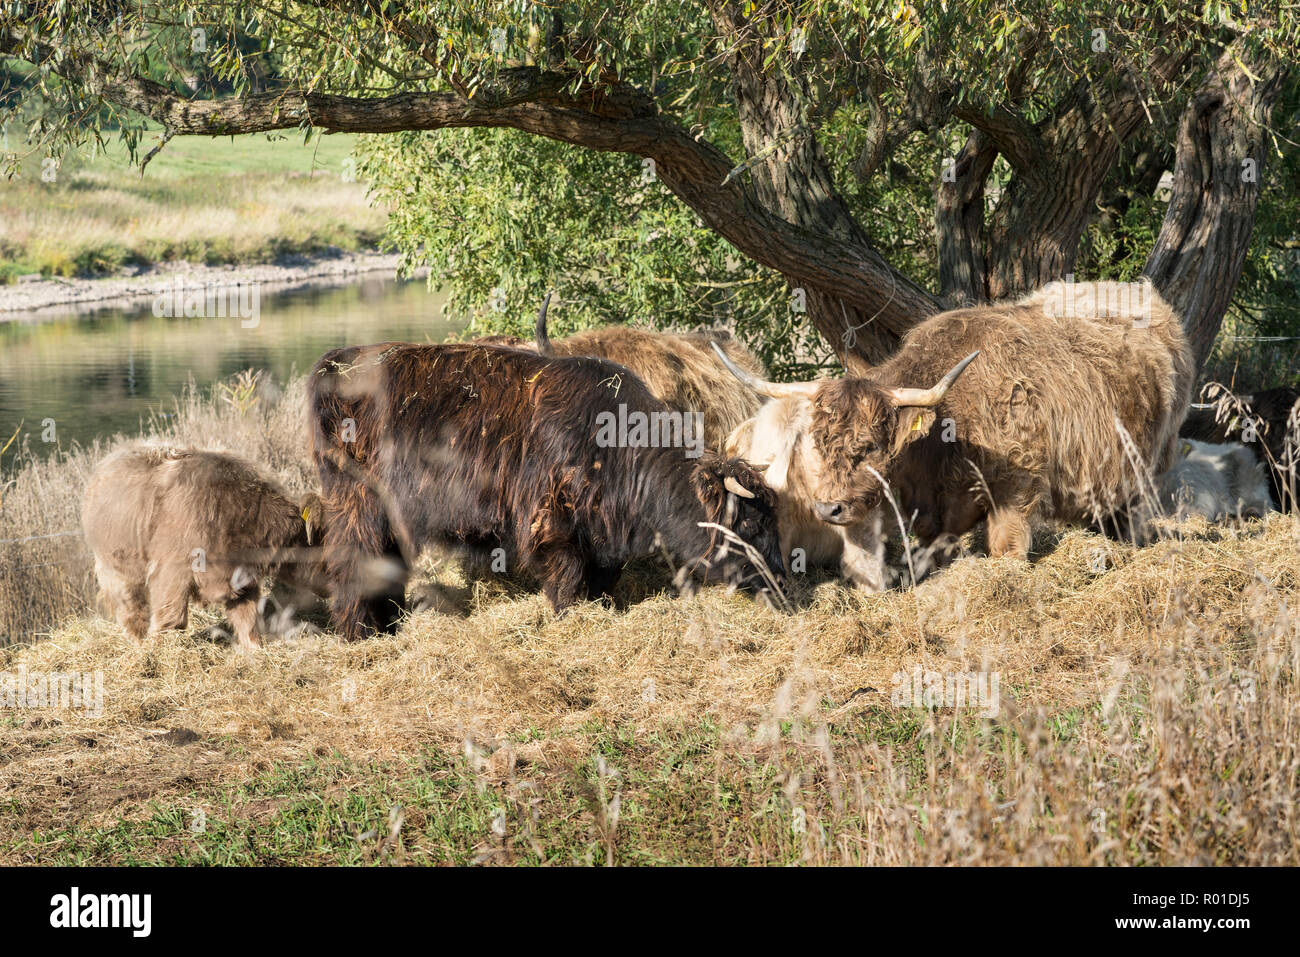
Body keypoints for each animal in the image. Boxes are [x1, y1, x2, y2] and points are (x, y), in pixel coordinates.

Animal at [81, 444, 330, 647]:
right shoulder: (172, 570)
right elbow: (171, 617)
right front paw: (155, 649)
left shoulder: (240, 577)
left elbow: (247, 618)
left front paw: (254, 649)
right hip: (115, 566)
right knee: (130, 606)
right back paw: (138, 643)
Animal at [309, 340, 785, 639]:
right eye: (749, 524)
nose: (780, 579)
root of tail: (334, 363)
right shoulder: (553, 527)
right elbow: (566, 579)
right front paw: (569, 619)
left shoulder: (602, 537)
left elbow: (601, 580)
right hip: (359, 505)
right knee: (352, 562)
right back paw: (361, 634)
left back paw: (389, 625)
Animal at [717, 280, 1190, 587]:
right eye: (819, 443)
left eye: (869, 447)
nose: (828, 508)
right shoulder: (931, 516)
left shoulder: (1015, 486)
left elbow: (1006, 549)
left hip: (1149, 468)